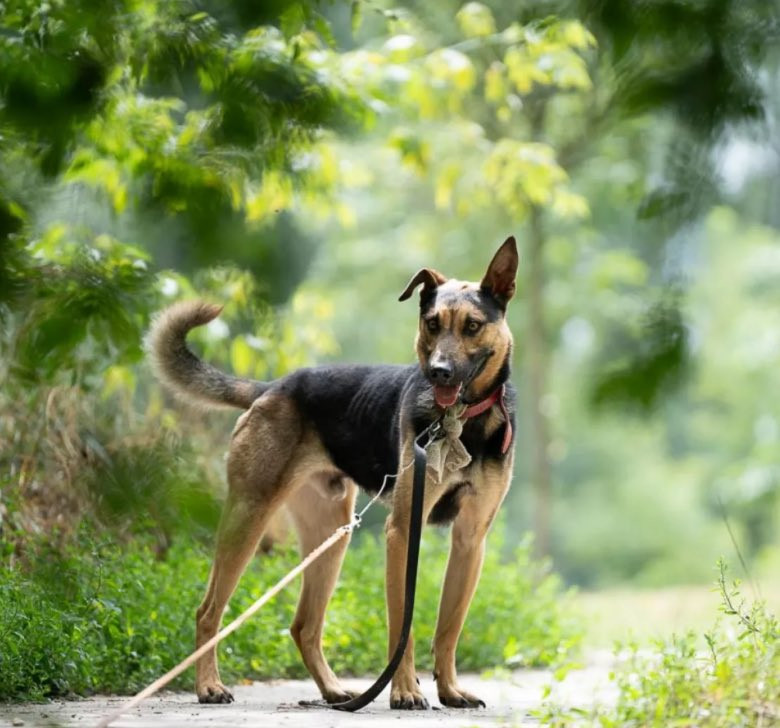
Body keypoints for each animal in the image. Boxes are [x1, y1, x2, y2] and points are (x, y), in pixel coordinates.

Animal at [147, 236, 517, 710]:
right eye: (432, 324)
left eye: (472, 326)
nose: (439, 373)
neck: (461, 421)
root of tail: (271, 389)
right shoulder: (402, 533)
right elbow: (402, 625)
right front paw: (404, 691)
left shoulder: (470, 540)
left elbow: (448, 628)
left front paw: (450, 690)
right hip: (248, 517)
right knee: (208, 610)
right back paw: (209, 685)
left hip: (331, 534)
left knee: (304, 625)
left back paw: (333, 692)